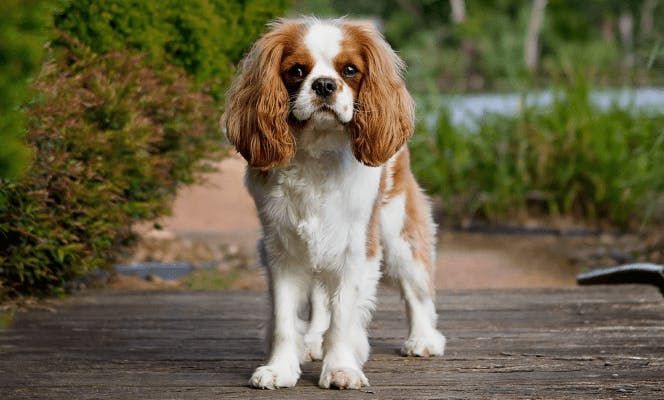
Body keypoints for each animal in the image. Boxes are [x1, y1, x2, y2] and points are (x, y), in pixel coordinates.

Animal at [222, 17, 446, 390]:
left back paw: (424, 339)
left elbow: (343, 315)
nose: (325, 85)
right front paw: (280, 369)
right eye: (297, 71)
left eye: (350, 70)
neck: (318, 151)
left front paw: (341, 368)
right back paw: (313, 341)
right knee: (319, 299)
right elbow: (285, 318)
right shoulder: (282, 251)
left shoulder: (356, 248)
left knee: (417, 287)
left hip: (398, 231)